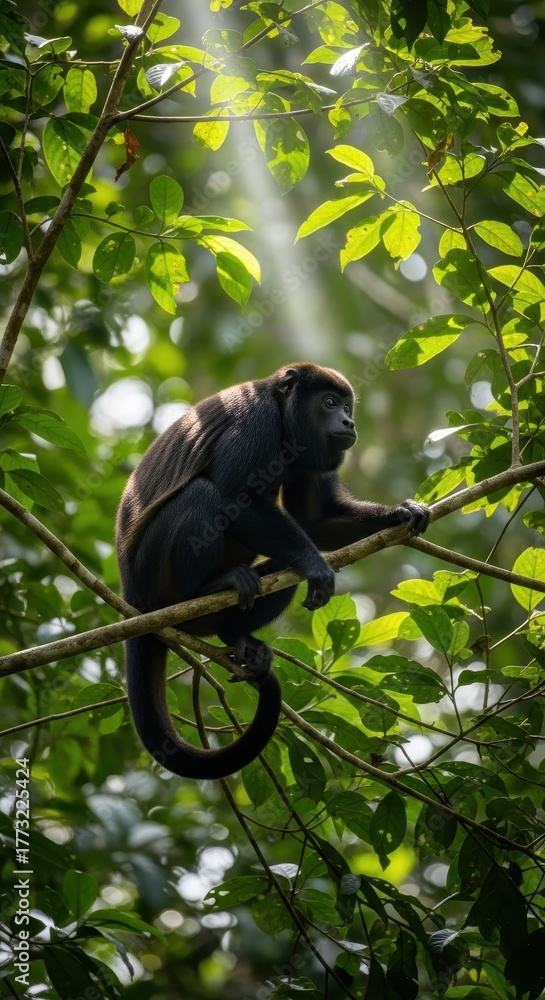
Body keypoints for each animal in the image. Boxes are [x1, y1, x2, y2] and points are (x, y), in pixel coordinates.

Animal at [116, 362, 430, 780]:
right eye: (329, 404)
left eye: (347, 406)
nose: (349, 421)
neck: (284, 417)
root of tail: (132, 601)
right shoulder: (255, 423)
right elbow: (234, 498)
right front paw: (315, 565)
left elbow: (315, 523)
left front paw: (402, 511)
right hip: (151, 578)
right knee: (202, 493)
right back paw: (203, 589)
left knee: (282, 572)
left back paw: (239, 637)